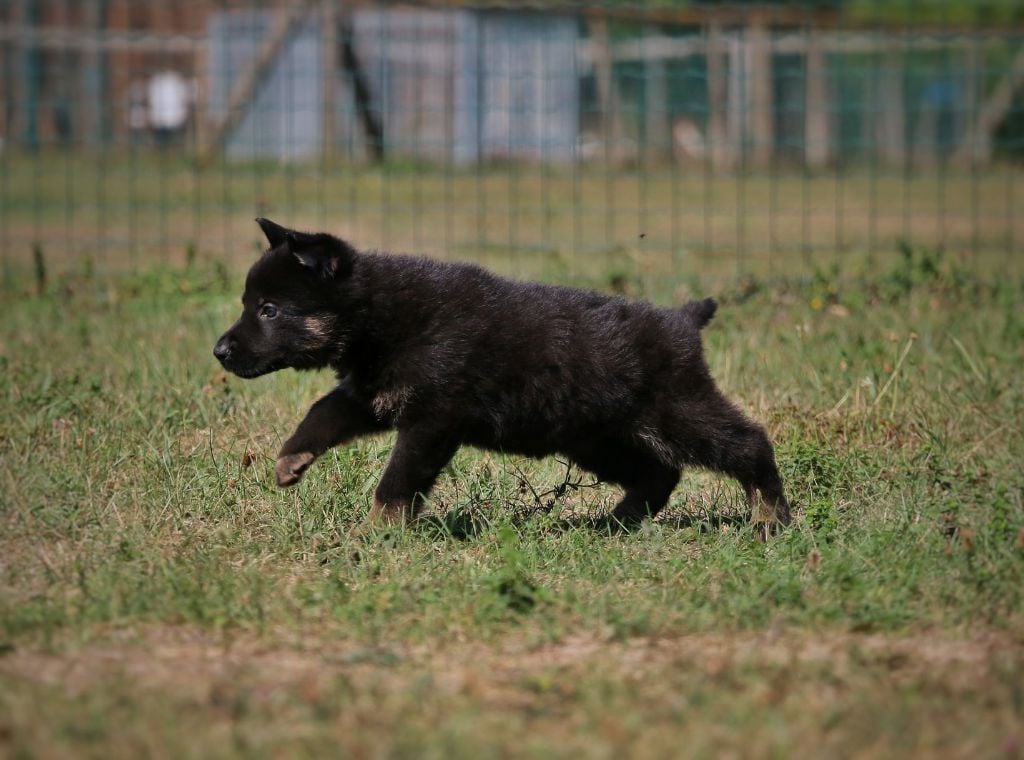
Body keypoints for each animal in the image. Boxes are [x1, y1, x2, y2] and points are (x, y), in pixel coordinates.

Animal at [213, 218, 790, 528]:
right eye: (248, 304)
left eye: (268, 309)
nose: (219, 351)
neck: (380, 314)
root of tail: (684, 319)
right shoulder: (371, 395)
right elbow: (322, 413)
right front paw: (291, 459)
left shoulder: (431, 421)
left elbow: (397, 481)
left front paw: (377, 532)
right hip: (597, 439)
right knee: (658, 474)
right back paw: (612, 524)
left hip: (677, 412)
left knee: (748, 444)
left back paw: (769, 518)